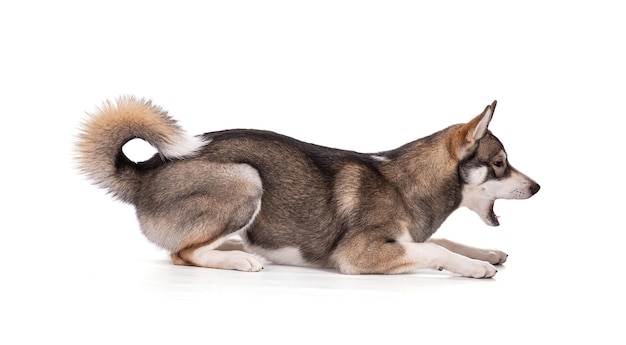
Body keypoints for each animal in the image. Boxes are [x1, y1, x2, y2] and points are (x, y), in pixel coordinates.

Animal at [77, 96, 536, 276]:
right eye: (500, 164)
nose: (537, 188)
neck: (406, 182)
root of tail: (148, 170)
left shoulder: (408, 238)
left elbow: (447, 241)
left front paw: (486, 253)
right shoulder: (359, 255)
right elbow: (437, 249)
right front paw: (476, 267)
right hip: (245, 178)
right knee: (183, 253)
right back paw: (240, 260)